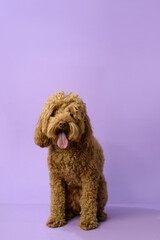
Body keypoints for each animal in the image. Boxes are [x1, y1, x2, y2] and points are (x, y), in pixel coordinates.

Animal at [34, 91, 108, 230]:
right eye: (53, 113)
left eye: (72, 114)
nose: (62, 123)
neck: (67, 150)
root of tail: (76, 209)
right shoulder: (56, 177)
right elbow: (56, 198)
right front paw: (55, 219)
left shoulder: (89, 176)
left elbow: (88, 200)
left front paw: (88, 221)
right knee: (68, 206)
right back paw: (67, 214)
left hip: (102, 187)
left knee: (97, 205)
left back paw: (99, 215)